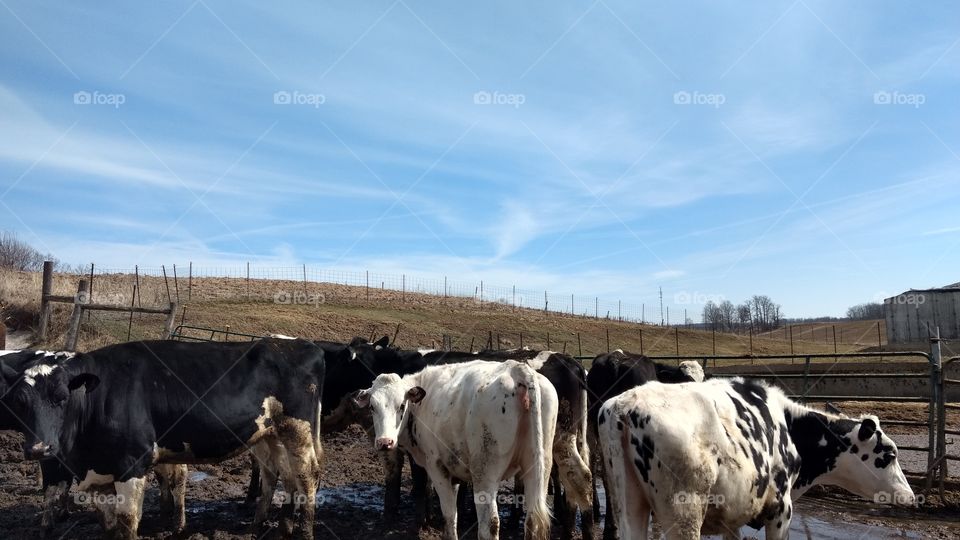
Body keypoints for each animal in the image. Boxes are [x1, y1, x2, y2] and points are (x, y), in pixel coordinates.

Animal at [0, 338, 325, 540]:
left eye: (62, 397)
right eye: (18, 402)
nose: (39, 448)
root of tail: (300, 344)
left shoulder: (132, 465)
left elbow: (127, 525)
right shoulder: (98, 474)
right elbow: (108, 526)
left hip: (298, 429)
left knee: (307, 476)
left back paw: (305, 531)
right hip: (271, 435)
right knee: (282, 475)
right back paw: (271, 527)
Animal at [354, 359, 558, 540]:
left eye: (402, 406)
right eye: (372, 407)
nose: (385, 442)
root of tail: (516, 369)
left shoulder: (437, 467)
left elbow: (449, 513)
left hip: (485, 473)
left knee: (489, 525)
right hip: (538, 469)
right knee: (531, 521)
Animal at [598, 377, 915, 539]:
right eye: (889, 454)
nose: (911, 496)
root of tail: (626, 404)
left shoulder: (732, 516)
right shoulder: (781, 510)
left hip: (630, 506)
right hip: (684, 514)